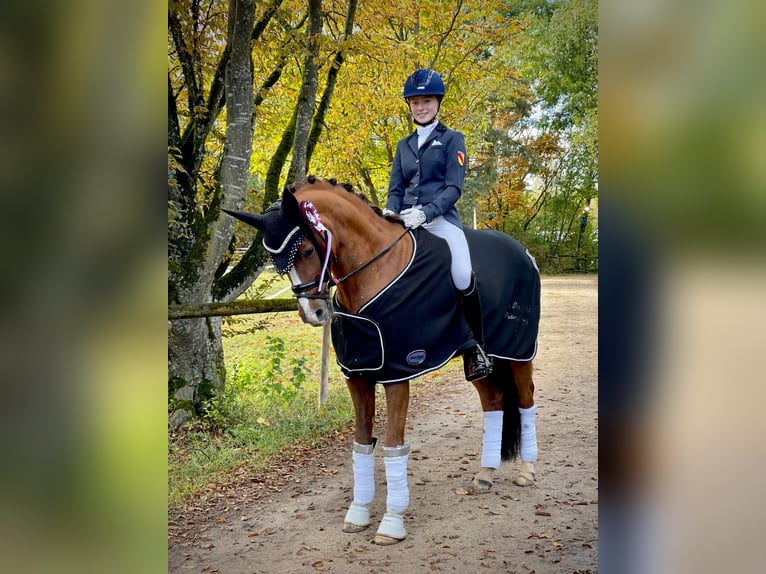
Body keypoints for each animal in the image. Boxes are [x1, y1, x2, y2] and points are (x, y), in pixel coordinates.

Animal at [225, 177, 544, 548]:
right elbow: (362, 444)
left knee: (525, 401)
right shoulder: (357, 375)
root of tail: (523, 252)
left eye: (305, 251)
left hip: (518, 351)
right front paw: (359, 513)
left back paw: (527, 471)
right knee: (493, 403)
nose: (312, 313)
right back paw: (485, 475)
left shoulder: (398, 372)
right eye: (276, 262)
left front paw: (391, 522)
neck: (374, 271)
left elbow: (393, 446)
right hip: (479, 358)